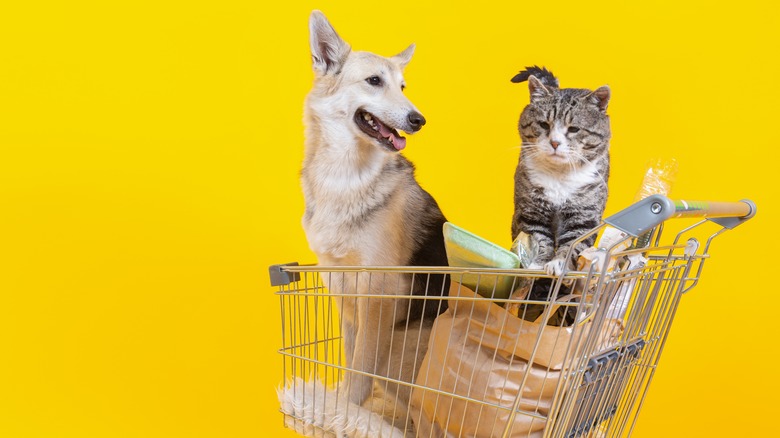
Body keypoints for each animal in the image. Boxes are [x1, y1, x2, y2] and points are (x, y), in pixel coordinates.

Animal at [296, 9, 448, 428]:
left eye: (403, 85)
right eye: (374, 81)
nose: (419, 119)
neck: (345, 178)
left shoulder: (377, 293)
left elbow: (361, 369)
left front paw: (345, 414)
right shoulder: (343, 290)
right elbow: (352, 362)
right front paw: (340, 408)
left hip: (396, 352)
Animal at [508, 64, 612, 276]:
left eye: (573, 129)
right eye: (543, 124)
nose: (555, 142)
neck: (559, 176)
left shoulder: (584, 217)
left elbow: (573, 244)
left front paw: (559, 263)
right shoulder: (532, 212)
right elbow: (540, 239)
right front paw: (538, 264)